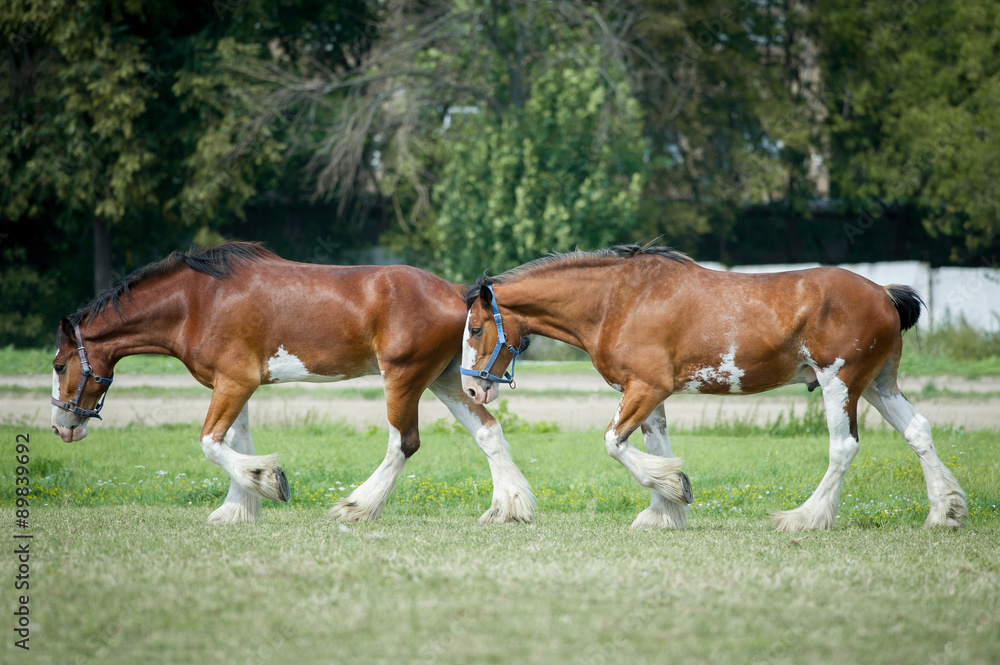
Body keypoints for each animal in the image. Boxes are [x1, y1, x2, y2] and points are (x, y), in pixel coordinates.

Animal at [50, 241, 535, 525]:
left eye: (57, 366)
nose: (61, 427)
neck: (196, 302)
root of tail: (454, 291)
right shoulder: (235, 385)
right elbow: (235, 442)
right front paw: (238, 508)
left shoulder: (234, 382)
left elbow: (212, 443)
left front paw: (267, 482)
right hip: (449, 379)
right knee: (488, 431)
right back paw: (510, 507)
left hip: (404, 377)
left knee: (404, 442)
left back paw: (356, 507)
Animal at [460, 244, 968, 531]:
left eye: (476, 329)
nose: (472, 392)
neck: (617, 300)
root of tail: (883, 292)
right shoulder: (649, 393)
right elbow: (654, 447)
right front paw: (665, 509)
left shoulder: (646, 387)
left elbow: (614, 443)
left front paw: (672, 491)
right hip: (880, 384)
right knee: (918, 431)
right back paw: (945, 513)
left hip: (840, 382)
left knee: (843, 447)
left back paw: (805, 518)